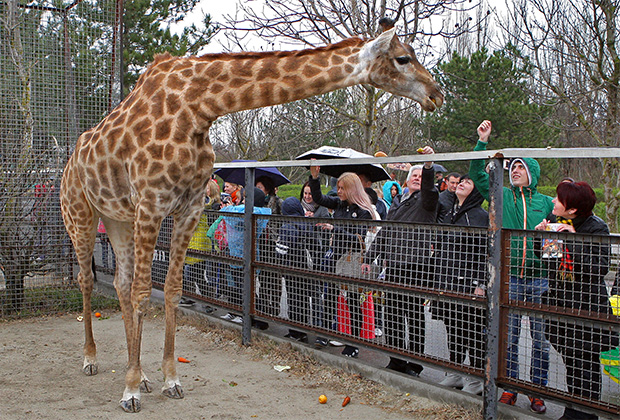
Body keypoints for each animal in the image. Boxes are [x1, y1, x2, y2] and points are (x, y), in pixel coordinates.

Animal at [60, 18, 444, 412]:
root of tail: (70, 162)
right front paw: (130, 392)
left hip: (119, 219)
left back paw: (143, 375)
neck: (198, 108)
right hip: (81, 214)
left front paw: (169, 380)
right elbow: (142, 293)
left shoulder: (188, 208)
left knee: (120, 284)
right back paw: (92, 360)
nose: (436, 94)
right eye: (402, 58)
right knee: (88, 279)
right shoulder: (152, 202)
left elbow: (171, 289)